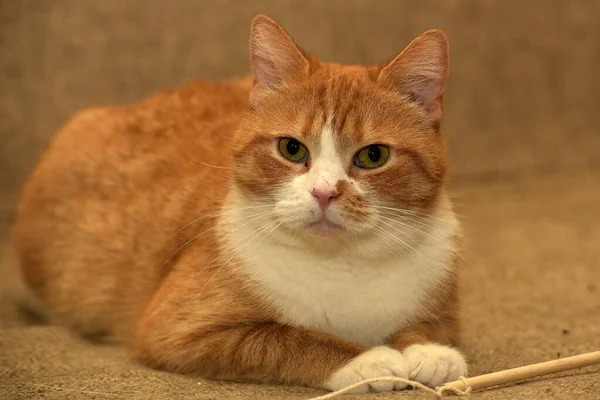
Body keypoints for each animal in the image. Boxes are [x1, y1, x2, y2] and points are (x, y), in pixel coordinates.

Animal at [12, 13, 464, 394]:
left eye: (373, 156)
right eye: (291, 148)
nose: (324, 193)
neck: (341, 267)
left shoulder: (442, 301)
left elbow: (432, 326)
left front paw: (430, 351)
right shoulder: (178, 329)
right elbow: (286, 337)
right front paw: (368, 359)